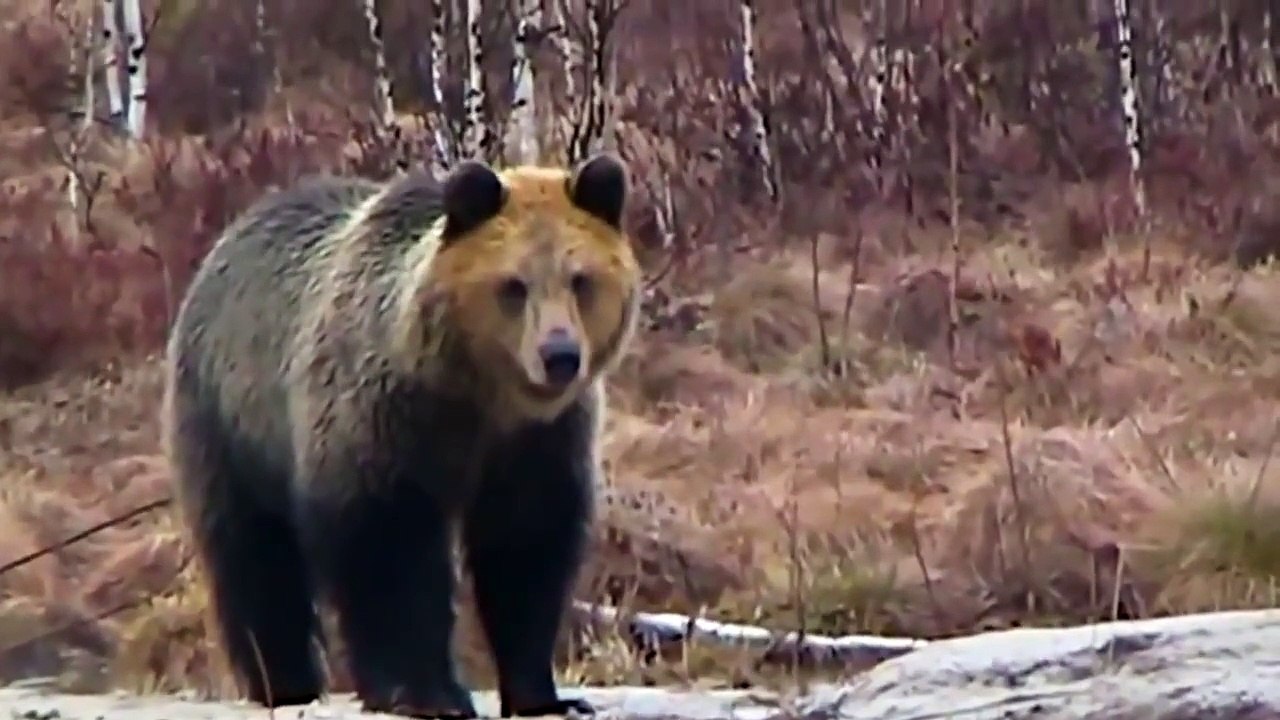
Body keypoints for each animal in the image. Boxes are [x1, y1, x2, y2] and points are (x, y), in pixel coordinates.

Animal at [160, 152, 641, 719]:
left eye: (581, 280)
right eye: (514, 285)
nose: (560, 355)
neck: (477, 393)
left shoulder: (537, 442)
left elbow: (525, 550)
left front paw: (544, 694)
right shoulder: (382, 421)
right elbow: (389, 552)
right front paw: (425, 692)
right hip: (231, 422)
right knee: (254, 553)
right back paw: (283, 679)